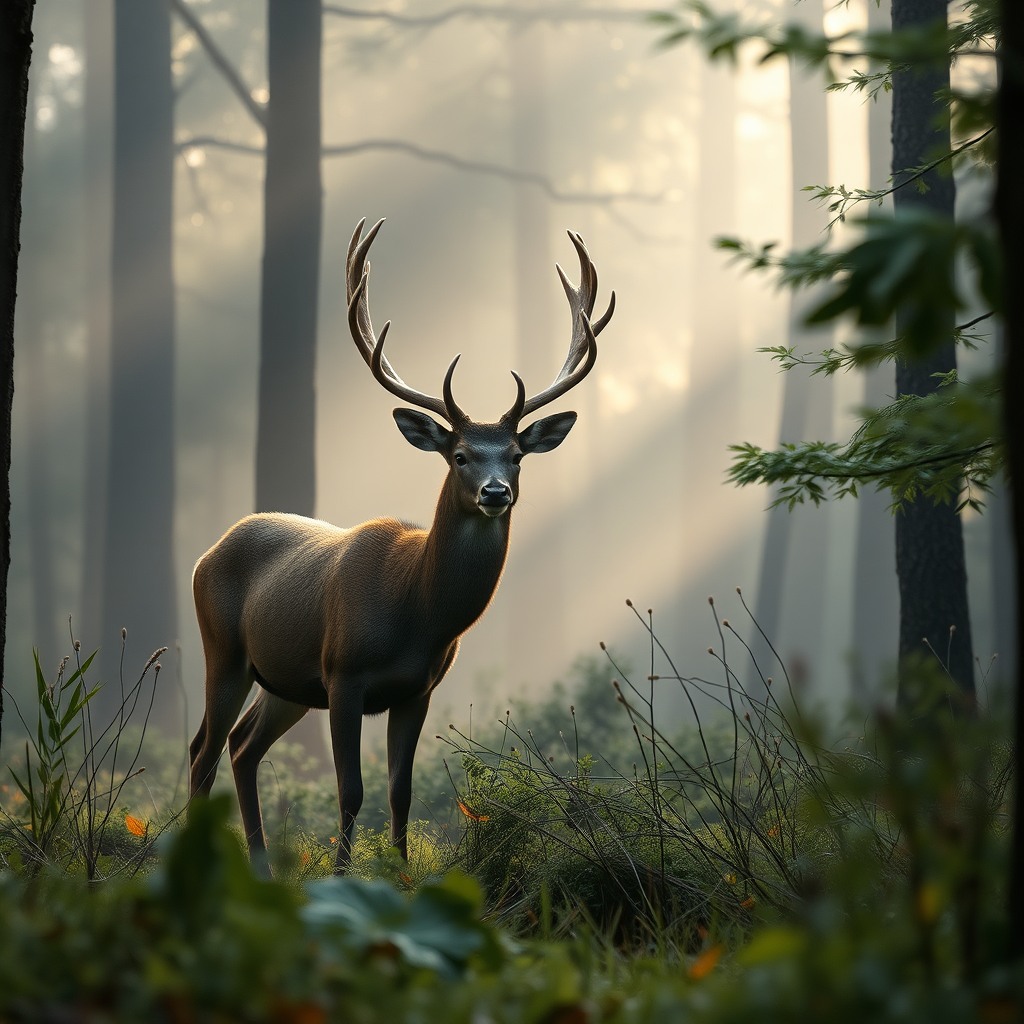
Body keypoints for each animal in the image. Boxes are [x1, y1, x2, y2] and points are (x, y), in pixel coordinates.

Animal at [188, 217, 615, 873]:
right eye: (460, 454)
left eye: (516, 455)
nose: (496, 492)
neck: (417, 611)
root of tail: (208, 552)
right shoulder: (343, 674)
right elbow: (350, 789)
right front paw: (342, 876)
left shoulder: (417, 689)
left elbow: (401, 791)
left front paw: (402, 873)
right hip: (226, 649)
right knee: (203, 751)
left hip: (285, 681)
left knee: (239, 746)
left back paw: (260, 863)